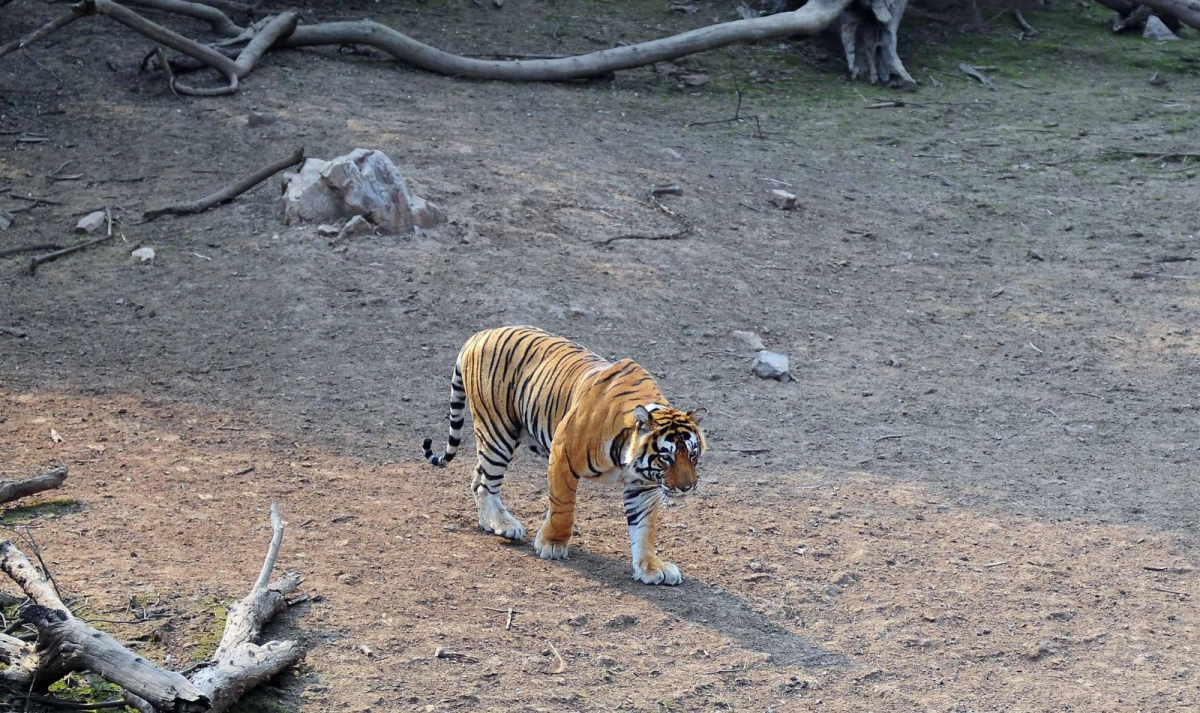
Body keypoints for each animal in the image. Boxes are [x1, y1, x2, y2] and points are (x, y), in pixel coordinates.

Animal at [421, 326, 707, 586]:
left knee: (476, 476)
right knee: (485, 483)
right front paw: (552, 544)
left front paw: (650, 567)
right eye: (666, 457)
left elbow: (644, 528)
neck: (626, 458)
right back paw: (504, 524)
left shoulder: (643, 485)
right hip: (497, 432)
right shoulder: (561, 457)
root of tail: (479, 334)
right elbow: (563, 509)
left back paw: (489, 522)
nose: (687, 487)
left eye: (693, 455)